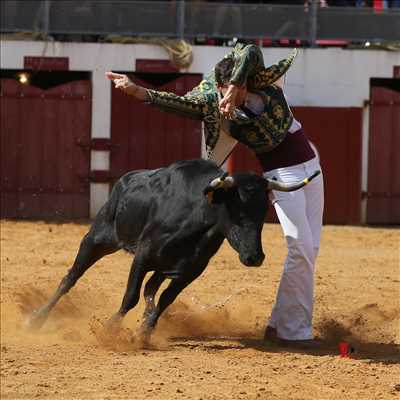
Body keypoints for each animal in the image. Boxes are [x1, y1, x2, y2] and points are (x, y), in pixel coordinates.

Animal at [26, 159, 318, 334]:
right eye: (236, 210)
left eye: (263, 212)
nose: (254, 257)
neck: (197, 219)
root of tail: (124, 181)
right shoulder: (143, 255)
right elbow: (130, 296)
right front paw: (111, 328)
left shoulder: (190, 270)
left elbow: (166, 298)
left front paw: (146, 330)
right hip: (97, 239)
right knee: (70, 278)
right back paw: (37, 319)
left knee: (151, 288)